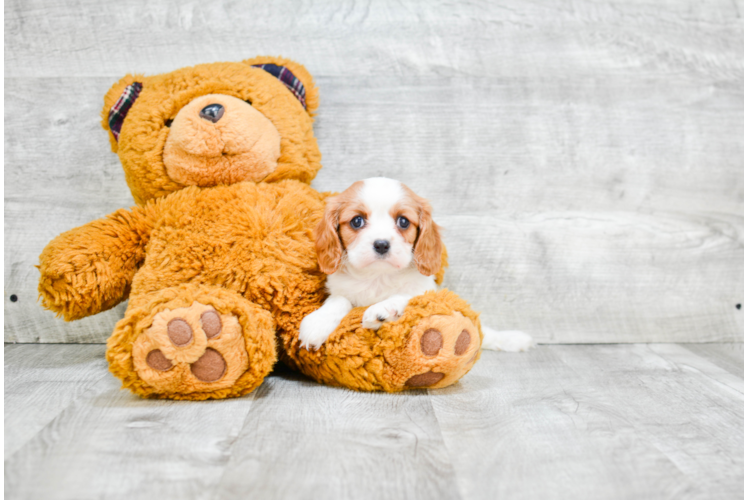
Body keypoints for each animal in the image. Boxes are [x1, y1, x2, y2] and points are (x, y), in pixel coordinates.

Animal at [296, 178, 438, 350]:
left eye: (403, 221)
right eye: (357, 221)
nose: (381, 244)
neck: (377, 275)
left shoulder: (427, 290)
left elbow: (408, 295)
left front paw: (383, 308)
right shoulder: (340, 289)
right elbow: (339, 299)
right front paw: (318, 322)